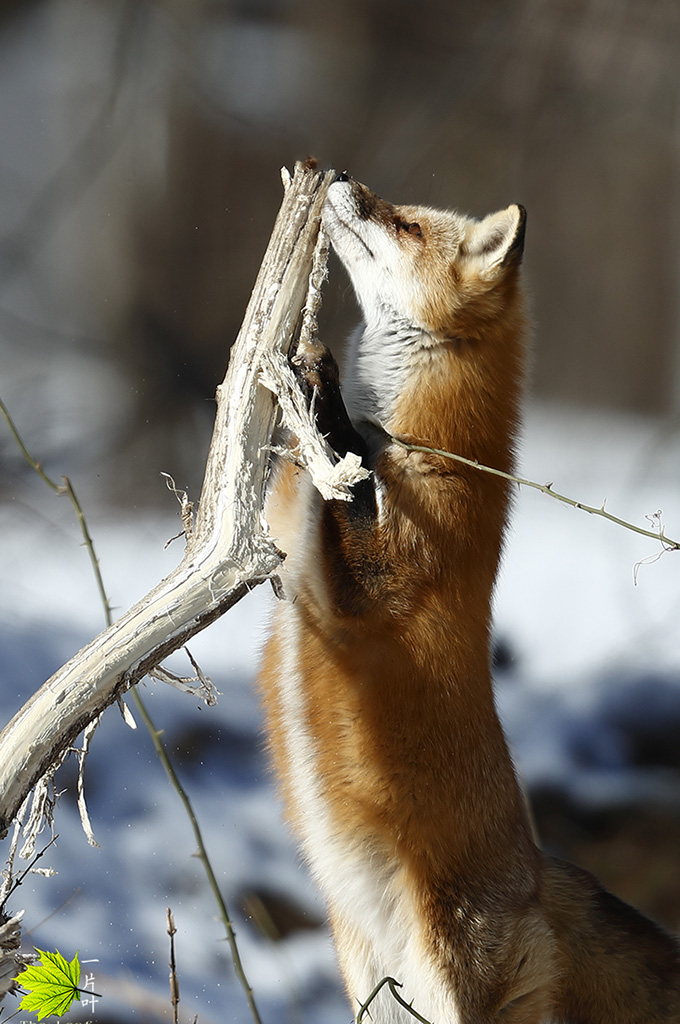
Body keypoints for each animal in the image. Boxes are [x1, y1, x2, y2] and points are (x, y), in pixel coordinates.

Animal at [256, 176, 680, 1024]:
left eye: (407, 224)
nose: (342, 180)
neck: (420, 441)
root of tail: (541, 871)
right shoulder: (294, 544)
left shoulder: (384, 580)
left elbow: (350, 473)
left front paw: (322, 395)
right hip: (375, 997)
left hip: (453, 985)